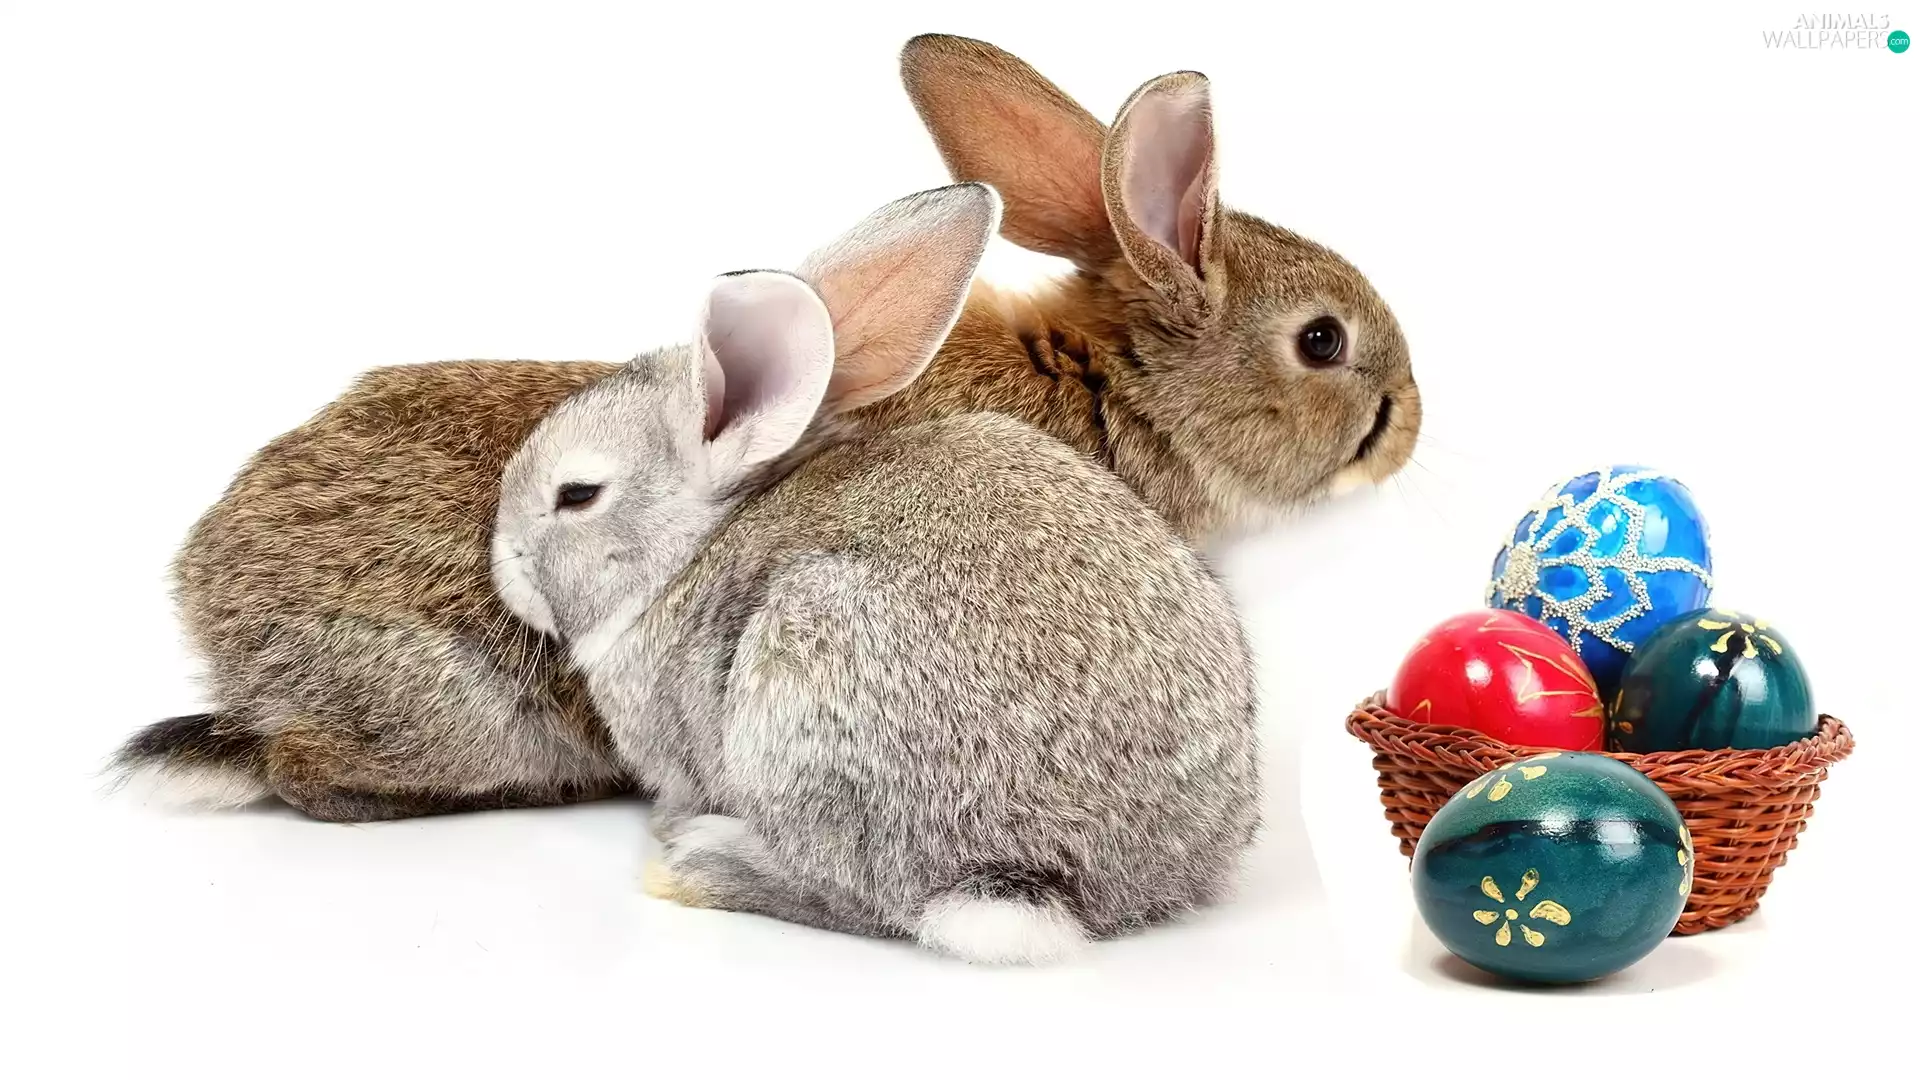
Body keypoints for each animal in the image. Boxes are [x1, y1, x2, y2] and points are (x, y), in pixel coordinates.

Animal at [490, 267, 1260, 965]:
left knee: (863, 898)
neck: (689, 550)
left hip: (804, 701)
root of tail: (1081, 880)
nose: (503, 564)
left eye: (577, 494)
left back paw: (699, 861)